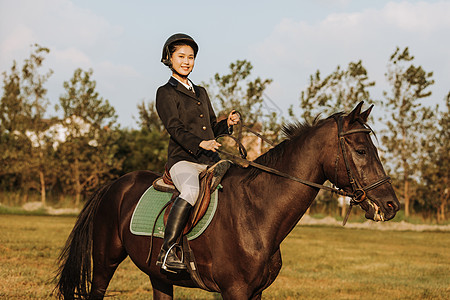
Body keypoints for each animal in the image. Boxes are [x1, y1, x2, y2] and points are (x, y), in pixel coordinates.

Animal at [55, 102, 398, 298]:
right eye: (361, 150)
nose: (391, 205)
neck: (257, 213)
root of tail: (115, 184)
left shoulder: (255, 292)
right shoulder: (235, 291)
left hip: (158, 275)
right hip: (105, 262)